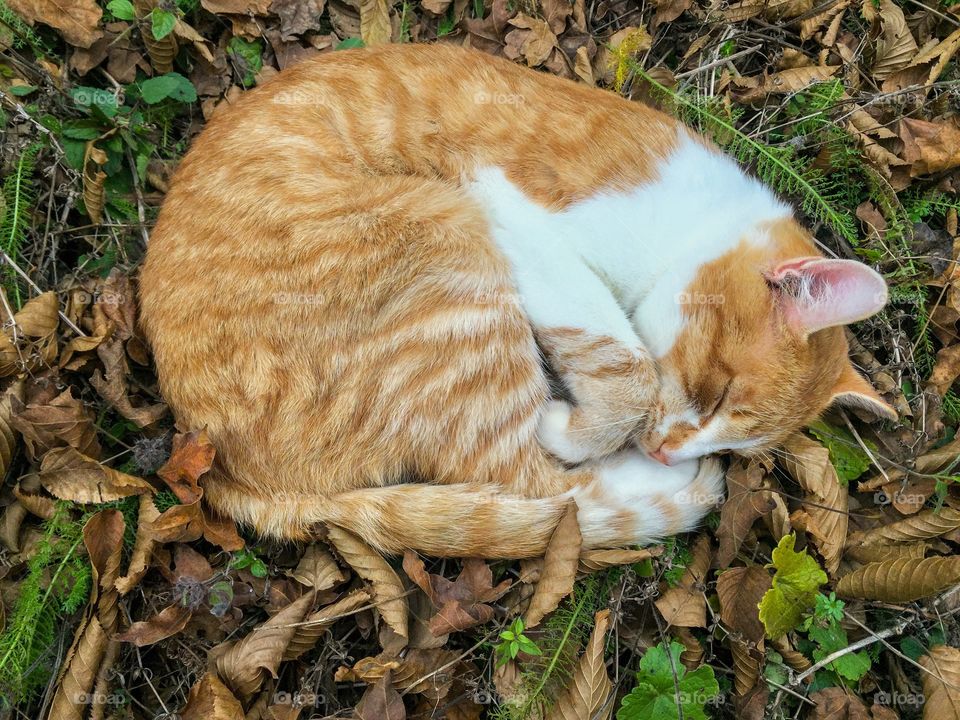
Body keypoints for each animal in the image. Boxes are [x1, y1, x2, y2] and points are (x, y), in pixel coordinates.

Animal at [139, 42, 896, 556]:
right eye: (716, 392)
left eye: (742, 440)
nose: (664, 453)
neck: (696, 221)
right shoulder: (516, 215)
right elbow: (626, 366)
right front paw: (587, 426)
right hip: (448, 241)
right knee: (535, 484)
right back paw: (660, 485)